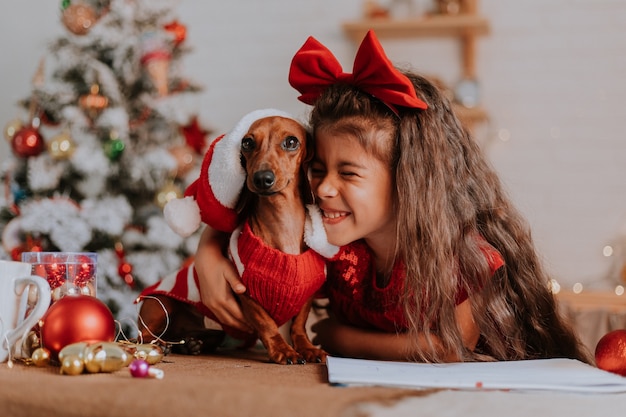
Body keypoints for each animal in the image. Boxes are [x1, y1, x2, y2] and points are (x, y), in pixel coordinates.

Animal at [136, 114, 332, 364]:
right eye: (247, 143)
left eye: (291, 142)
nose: (261, 178)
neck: (282, 225)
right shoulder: (245, 293)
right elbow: (266, 324)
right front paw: (283, 349)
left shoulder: (309, 293)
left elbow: (299, 324)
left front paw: (307, 348)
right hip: (159, 306)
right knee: (140, 336)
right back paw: (160, 345)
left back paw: (190, 344)